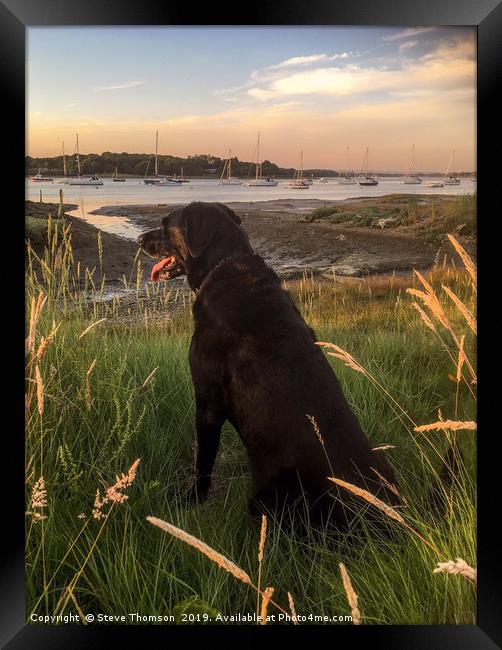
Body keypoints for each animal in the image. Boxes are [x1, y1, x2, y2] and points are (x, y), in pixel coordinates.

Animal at [138, 200, 400, 524]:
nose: (139, 239)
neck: (224, 265)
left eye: (165, 224)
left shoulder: (208, 403)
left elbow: (203, 463)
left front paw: (191, 500)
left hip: (266, 500)